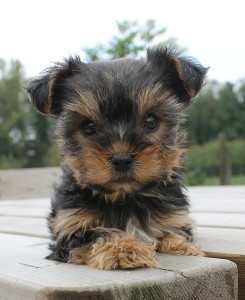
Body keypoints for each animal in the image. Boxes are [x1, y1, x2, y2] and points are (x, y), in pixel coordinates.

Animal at [26, 46, 207, 270]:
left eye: (151, 121)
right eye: (88, 127)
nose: (122, 159)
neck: (125, 198)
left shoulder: (173, 217)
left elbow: (171, 231)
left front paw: (182, 246)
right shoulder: (70, 228)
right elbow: (99, 232)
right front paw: (125, 249)